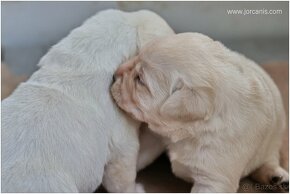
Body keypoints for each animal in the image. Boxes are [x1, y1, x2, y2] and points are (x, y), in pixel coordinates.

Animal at [110, 32, 288, 192]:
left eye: (140, 79)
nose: (116, 72)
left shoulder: (214, 181)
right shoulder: (156, 137)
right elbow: (141, 154)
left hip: (274, 140)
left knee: (269, 161)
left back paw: (277, 178)